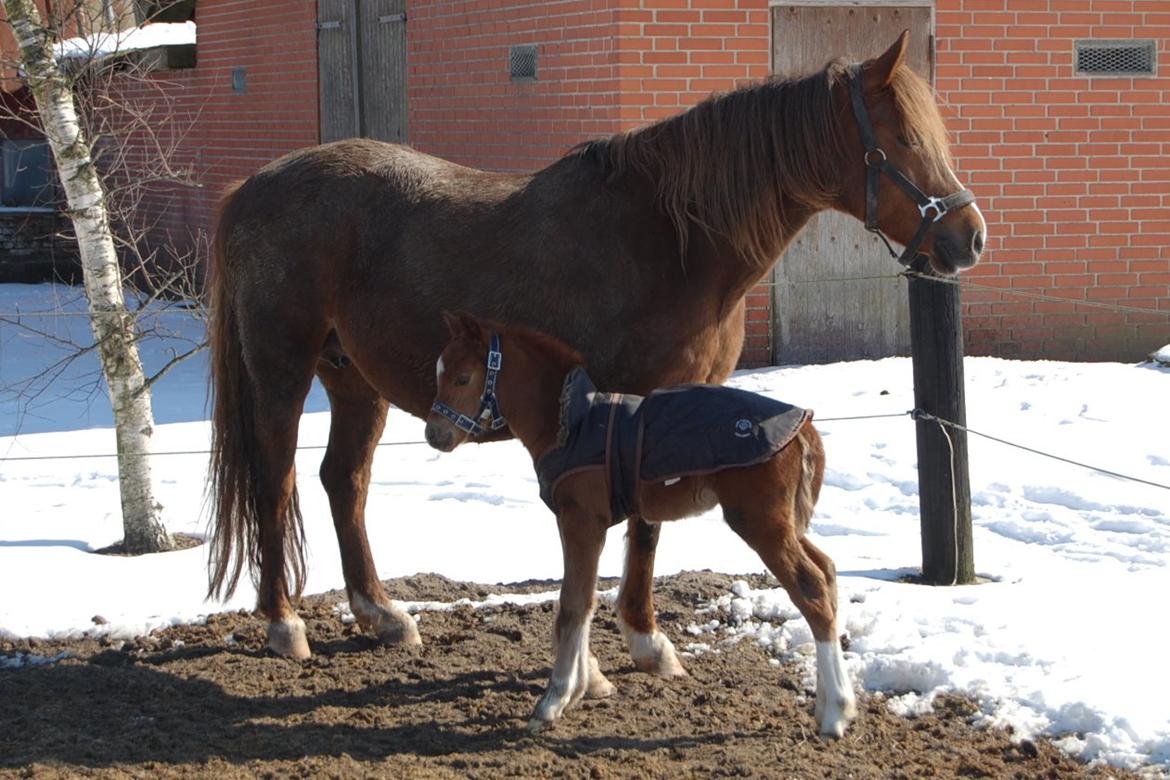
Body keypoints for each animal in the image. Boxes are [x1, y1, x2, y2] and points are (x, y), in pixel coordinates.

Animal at [206, 32, 985, 661]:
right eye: (902, 139)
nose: (969, 236)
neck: (671, 240)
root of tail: (250, 187)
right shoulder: (641, 402)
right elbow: (641, 521)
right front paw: (643, 639)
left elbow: (648, 526)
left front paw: (644, 638)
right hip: (282, 368)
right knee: (277, 480)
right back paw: (283, 625)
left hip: (354, 380)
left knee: (345, 482)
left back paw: (382, 614)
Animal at [425, 310, 854, 736]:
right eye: (438, 372)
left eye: (463, 378)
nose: (434, 434)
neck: (569, 422)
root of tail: (804, 426)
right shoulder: (583, 524)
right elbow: (584, 599)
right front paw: (580, 689)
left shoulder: (582, 521)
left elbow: (573, 603)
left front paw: (555, 699)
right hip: (786, 523)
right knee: (828, 570)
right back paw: (828, 704)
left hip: (760, 522)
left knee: (811, 587)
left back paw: (836, 712)